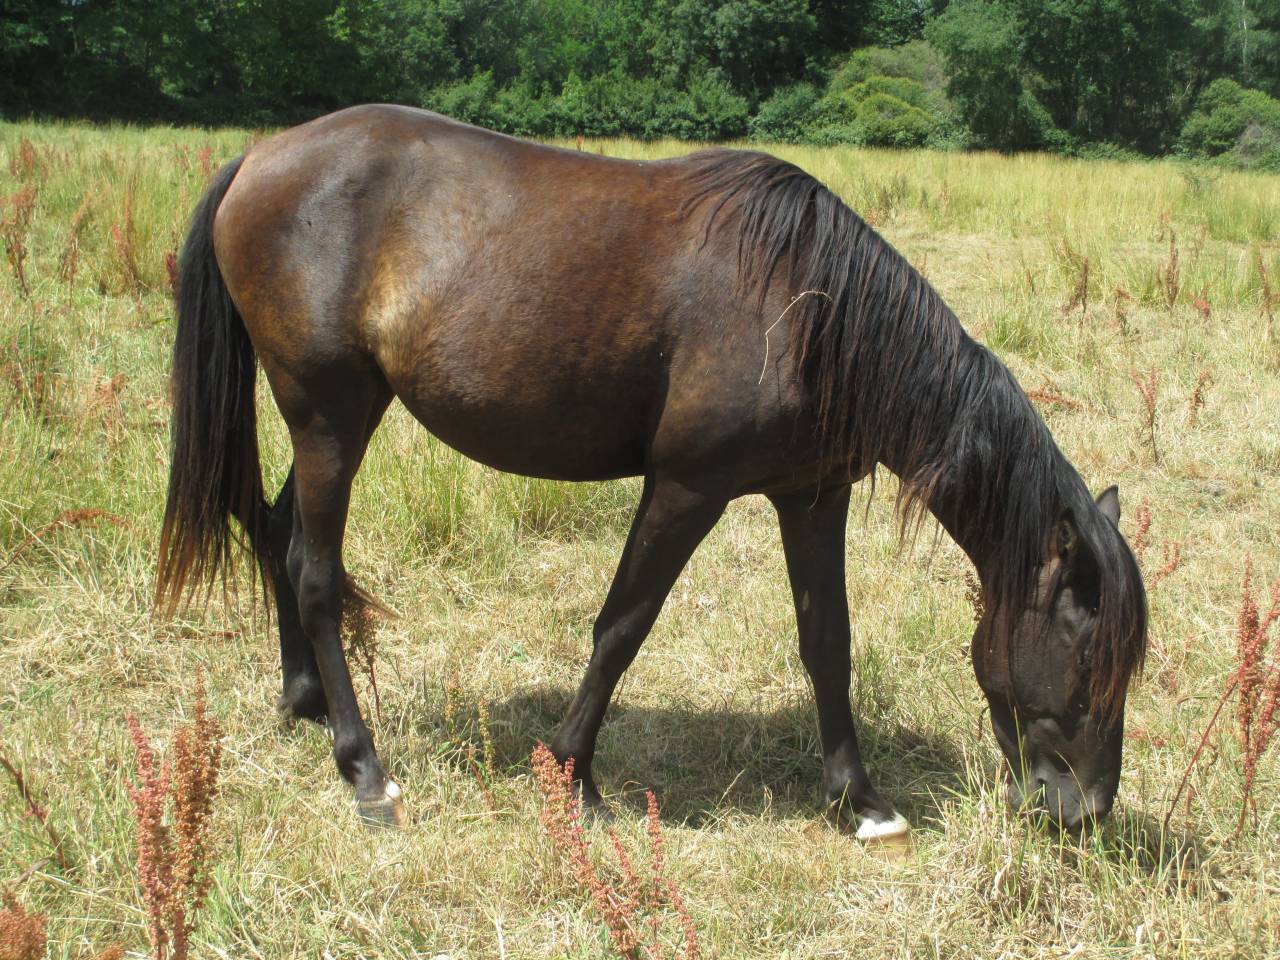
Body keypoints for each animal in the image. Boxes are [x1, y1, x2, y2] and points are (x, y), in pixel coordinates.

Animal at [155, 105, 1147, 838]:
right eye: (1088, 658)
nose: (1085, 812)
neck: (810, 309)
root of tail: (261, 156)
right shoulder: (686, 488)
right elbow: (622, 627)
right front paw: (574, 777)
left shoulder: (810, 496)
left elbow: (828, 642)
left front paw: (862, 803)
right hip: (327, 413)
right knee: (316, 573)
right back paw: (365, 771)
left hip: (345, 415)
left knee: (279, 534)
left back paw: (307, 705)